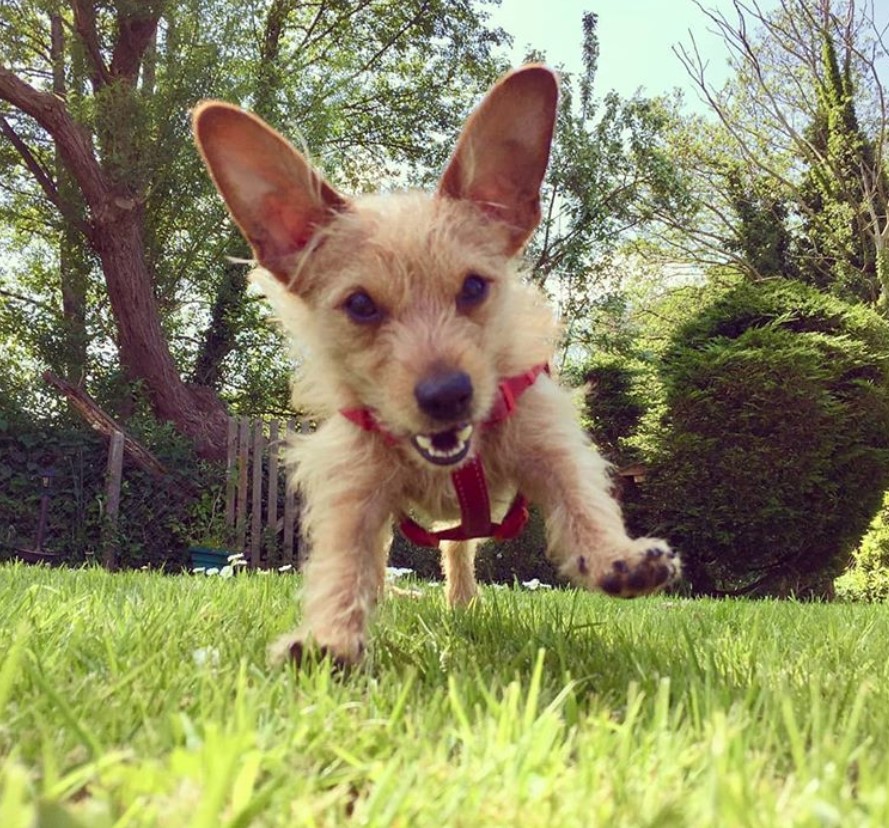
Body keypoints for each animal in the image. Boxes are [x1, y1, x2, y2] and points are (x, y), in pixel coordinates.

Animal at [193, 63, 680, 668]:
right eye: (360, 304)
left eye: (473, 287)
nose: (448, 394)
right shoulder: (353, 488)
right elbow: (344, 564)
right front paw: (331, 636)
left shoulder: (549, 437)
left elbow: (582, 497)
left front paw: (616, 554)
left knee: (460, 552)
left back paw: (463, 601)